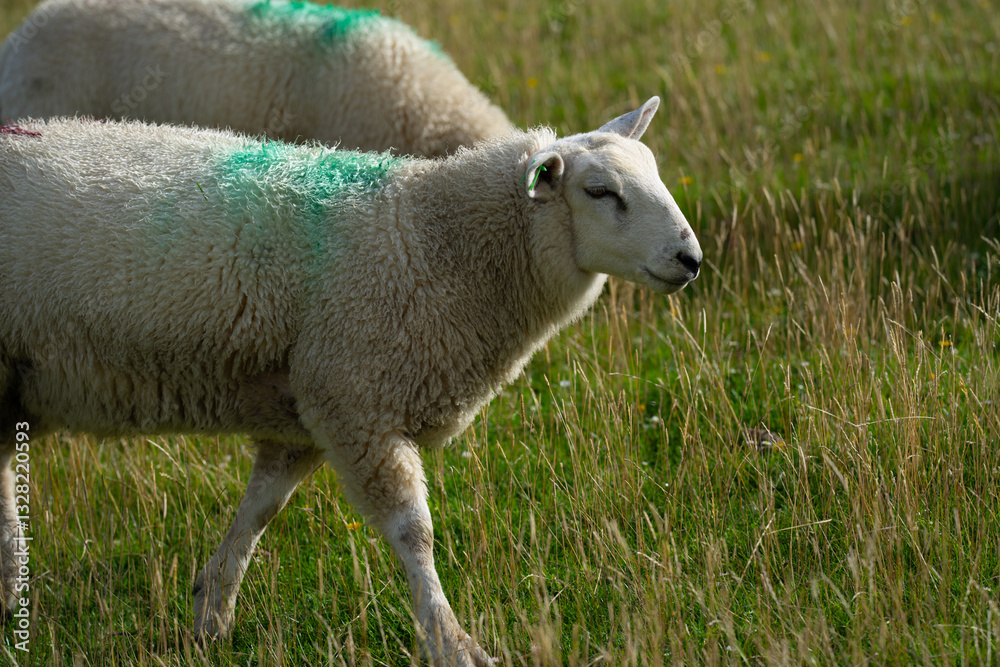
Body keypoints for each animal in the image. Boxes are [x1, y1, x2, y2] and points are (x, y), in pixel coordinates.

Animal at [0, 97, 702, 666]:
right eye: (600, 191)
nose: (690, 259)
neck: (430, 241)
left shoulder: (308, 407)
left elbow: (260, 512)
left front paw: (211, 611)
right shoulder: (357, 400)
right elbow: (414, 534)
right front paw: (452, 642)